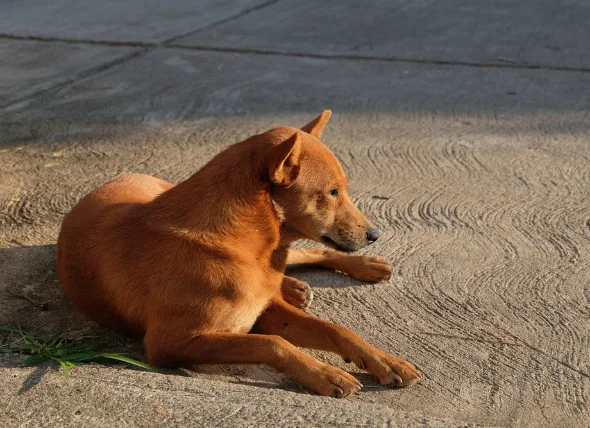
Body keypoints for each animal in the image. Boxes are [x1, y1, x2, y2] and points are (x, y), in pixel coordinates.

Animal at [57, 111, 420, 398]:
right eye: (332, 192)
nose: (375, 235)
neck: (234, 243)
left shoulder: (265, 306)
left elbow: (334, 329)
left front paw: (383, 361)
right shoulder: (169, 343)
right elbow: (271, 342)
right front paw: (323, 373)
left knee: (305, 254)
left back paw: (359, 268)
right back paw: (296, 287)